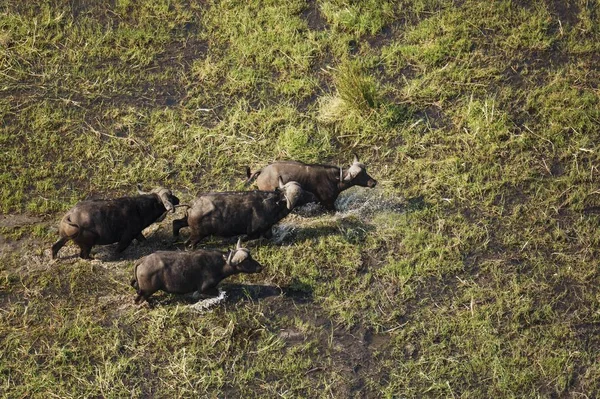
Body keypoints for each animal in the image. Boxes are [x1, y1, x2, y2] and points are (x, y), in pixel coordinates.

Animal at [50, 187, 178, 260]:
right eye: (171, 197)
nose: (178, 199)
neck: (139, 209)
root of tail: (69, 216)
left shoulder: (137, 233)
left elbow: (143, 240)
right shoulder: (127, 238)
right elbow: (118, 250)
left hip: (64, 237)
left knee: (55, 246)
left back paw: (55, 257)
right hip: (87, 244)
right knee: (83, 256)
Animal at [131, 238, 262, 304]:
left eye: (251, 257)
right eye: (246, 261)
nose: (260, 267)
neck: (219, 264)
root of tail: (142, 260)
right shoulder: (204, 288)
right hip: (147, 291)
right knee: (138, 300)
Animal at [173, 177, 304, 247]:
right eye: (299, 195)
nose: (308, 194)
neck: (272, 203)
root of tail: (193, 205)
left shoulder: (267, 230)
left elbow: (269, 236)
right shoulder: (254, 232)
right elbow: (246, 238)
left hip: (188, 223)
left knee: (176, 223)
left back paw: (175, 238)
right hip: (197, 235)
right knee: (188, 243)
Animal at [244, 154, 376, 211]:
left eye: (365, 171)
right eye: (359, 175)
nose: (373, 182)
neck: (333, 180)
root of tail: (262, 170)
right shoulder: (328, 204)